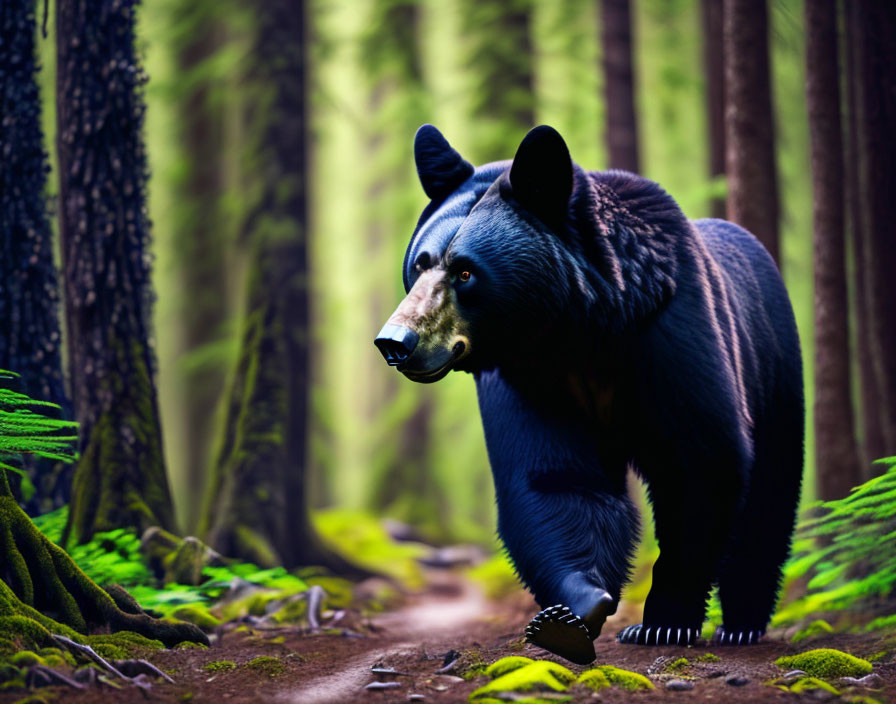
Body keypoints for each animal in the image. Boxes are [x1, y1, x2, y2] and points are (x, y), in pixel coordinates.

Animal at [374, 124, 800, 664]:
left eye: (465, 271)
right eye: (420, 263)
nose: (395, 342)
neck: (581, 329)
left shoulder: (670, 336)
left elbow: (700, 460)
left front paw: (662, 620)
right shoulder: (531, 380)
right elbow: (555, 479)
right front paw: (572, 612)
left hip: (773, 363)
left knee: (771, 488)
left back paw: (743, 623)